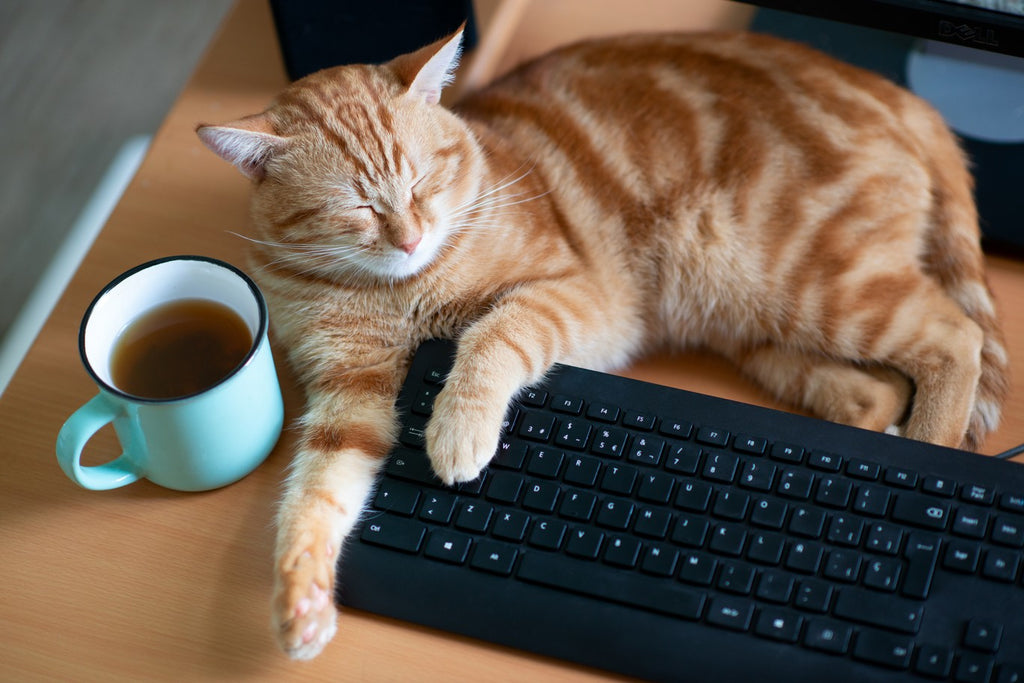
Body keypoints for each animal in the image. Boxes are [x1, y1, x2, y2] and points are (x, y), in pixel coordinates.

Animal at [197, 29, 1007, 659]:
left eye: (424, 180)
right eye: (357, 208)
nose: (410, 237)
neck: (392, 291)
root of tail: (892, 90)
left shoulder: (574, 291)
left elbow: (491, 334)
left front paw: (457, 430)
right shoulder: (351, 393)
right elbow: (315, 493)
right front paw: (300, 599)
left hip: (811, 280)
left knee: (953, 337)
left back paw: (930, 446)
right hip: (754, 319)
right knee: (876, 390)